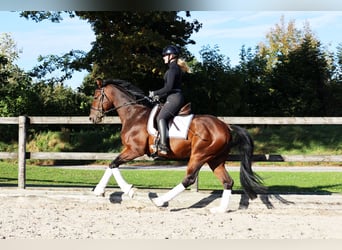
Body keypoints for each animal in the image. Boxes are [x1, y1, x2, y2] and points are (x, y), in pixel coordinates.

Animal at [88, 78, 264, 213]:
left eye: (96, 96)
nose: (92, 118)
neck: (133, 114)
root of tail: (226, 126)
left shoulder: (134, 150)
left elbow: (113, 164)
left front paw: (125, 190)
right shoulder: (131, 150)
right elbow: (112, 165)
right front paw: (105, 190)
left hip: (200, 155)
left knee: (189, 179)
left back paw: (159, 201)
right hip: (215, 159)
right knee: (227, 182)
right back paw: (219, 210)